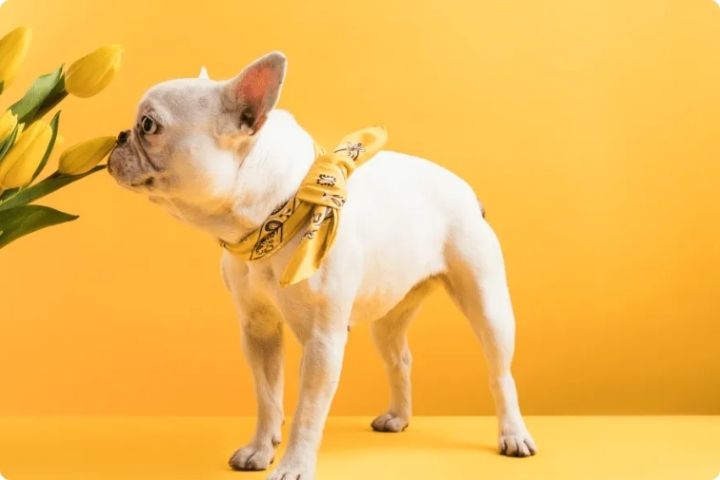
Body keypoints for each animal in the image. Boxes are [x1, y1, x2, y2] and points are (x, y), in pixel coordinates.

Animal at [107, 51, 536, 480]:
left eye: (149, 125)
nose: (120, 136)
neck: (275, 216)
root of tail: (468, 192)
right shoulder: (258, 330)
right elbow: (267, 397)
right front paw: (260, 449)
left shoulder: (322, 341)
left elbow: (307, 412)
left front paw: (293, 465)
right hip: (389, 313)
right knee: (399, 357)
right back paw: (398, 416)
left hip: (488, 306)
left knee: (500, 373)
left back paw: (513, 434)